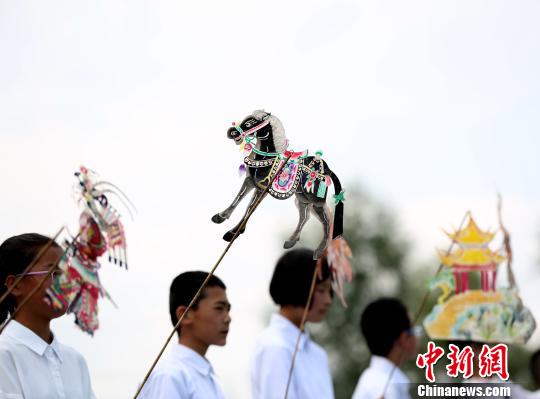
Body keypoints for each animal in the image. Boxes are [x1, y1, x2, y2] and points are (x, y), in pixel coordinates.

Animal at [212, 110, 344, 260]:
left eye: (252, 121)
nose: (231, 132)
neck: (267, 157)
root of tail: (328, 170)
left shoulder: (262, 189)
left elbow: (249, 208)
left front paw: (232, 233)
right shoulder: (251, 181)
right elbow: (239, 198)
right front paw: (221, 217)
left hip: (316, 200)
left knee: (327, 220)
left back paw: (318, 252)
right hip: (302, 198)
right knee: (305, 216)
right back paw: (291, 241)